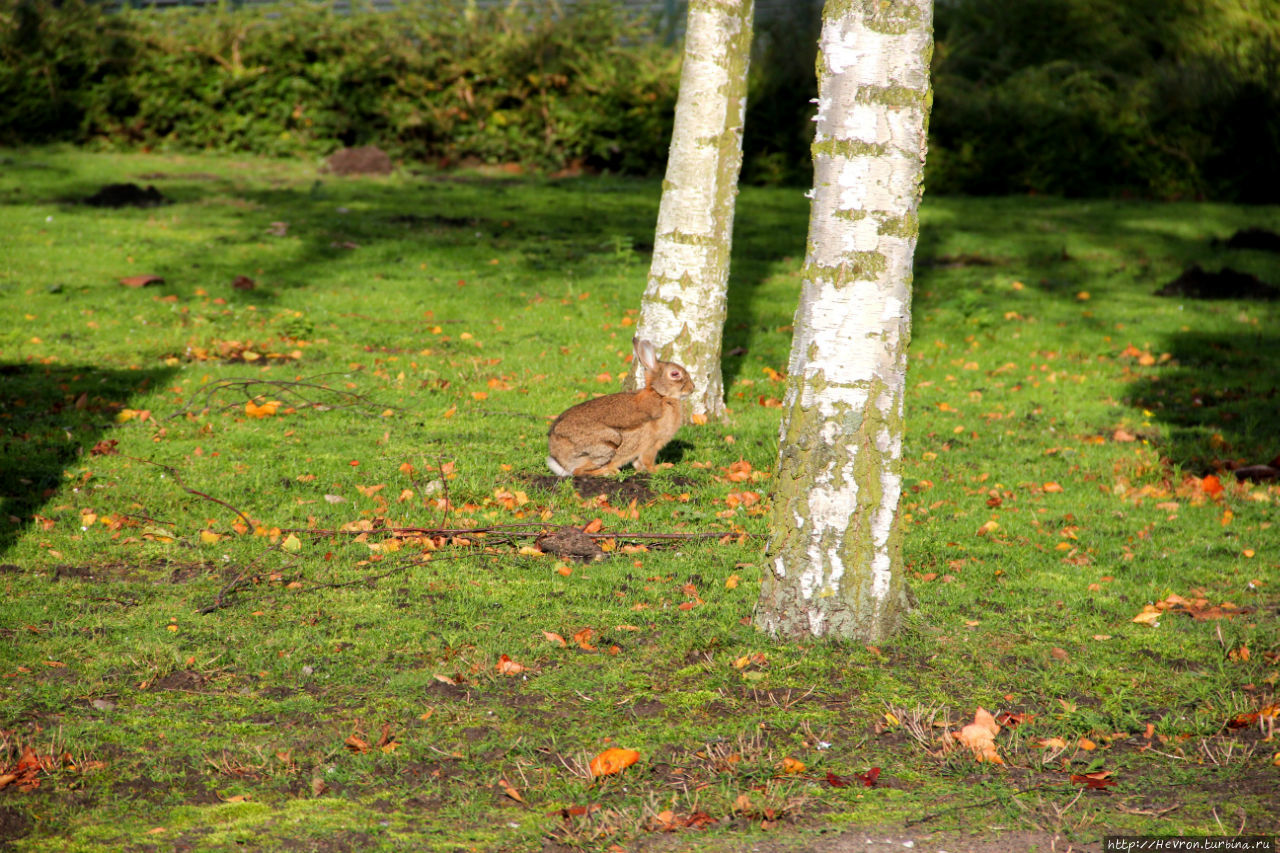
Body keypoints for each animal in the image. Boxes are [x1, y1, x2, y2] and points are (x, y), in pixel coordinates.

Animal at [545, 335, 696, 473]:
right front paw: (657, 469)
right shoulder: (651, 445)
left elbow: (637, 463)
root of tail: (559, 459)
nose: (692, 388)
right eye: (675, 374)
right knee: (579, 471)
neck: (660, 395)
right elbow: (647, 461)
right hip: (608, 443)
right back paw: (610, 472)